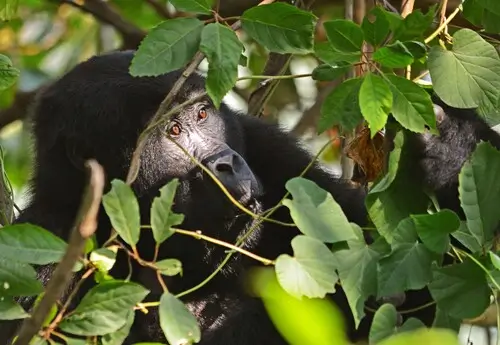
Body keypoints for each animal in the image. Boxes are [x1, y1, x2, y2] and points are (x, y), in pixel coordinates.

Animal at [0, 49, 498, 342]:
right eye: (173, 131)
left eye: (203, 114)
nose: (226, 163)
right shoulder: (42, 259)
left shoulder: (269, 151)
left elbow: (412, 296)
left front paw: (453, 149)